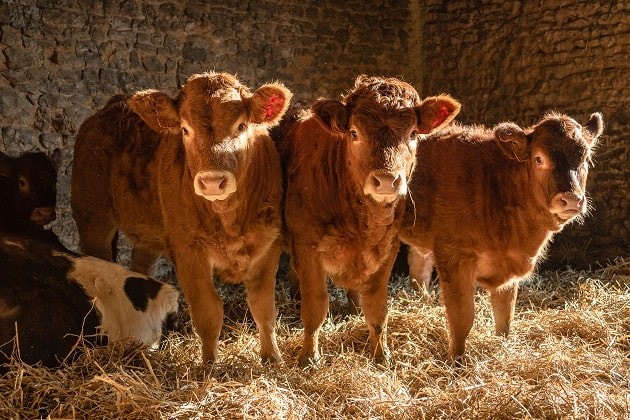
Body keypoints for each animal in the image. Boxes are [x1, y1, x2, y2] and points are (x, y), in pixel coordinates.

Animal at [71, 72, 294, 364]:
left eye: (241, 126)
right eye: (186, 130)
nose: (212, 182)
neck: (228, 220)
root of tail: (112, 105)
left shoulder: (268, 246)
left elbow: (264, 309)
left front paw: (273, 359)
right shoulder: (189, 250)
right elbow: (208, 311)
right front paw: (209, 366)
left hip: (148, 235)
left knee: (141, 266)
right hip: (93, 218)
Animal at [274, 76, 462, 368]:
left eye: (413, 134)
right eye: (354, 133)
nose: (386, 180)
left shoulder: (388, 248)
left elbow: (376, 308)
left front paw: (380, 355)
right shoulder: (306, 246)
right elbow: (315, 307)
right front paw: (309, 358)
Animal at [402, 111, 604, 360]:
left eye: (586, 159)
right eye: (539, 159)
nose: (571, 199)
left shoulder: (510, 263)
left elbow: (505, 315)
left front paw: (503, 346)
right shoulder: (453, 255)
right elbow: (462, 319)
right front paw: (457, 362)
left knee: (418, 269)